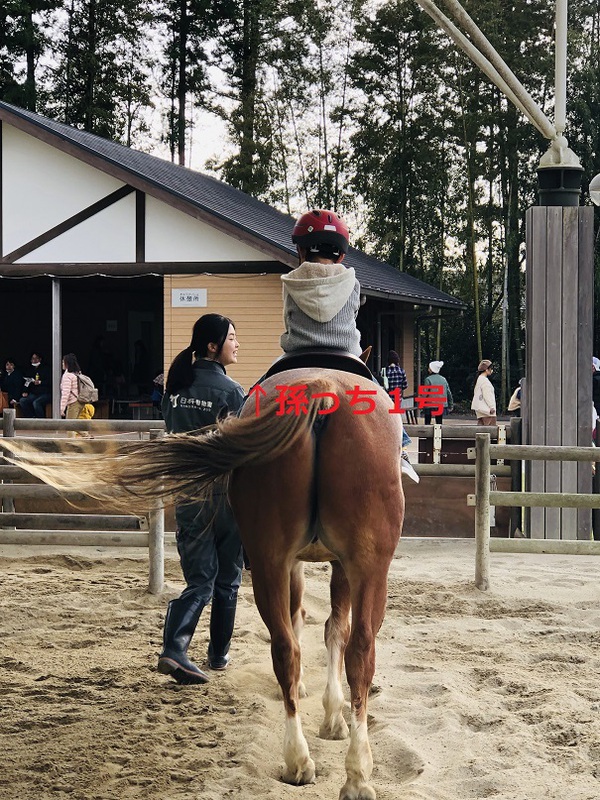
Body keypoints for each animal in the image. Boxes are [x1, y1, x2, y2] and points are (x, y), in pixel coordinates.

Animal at [2, 370, 404, 800]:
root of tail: (321, 389)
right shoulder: (333, 564)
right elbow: (331, 629)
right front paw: (332, 717)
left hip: (278, 561)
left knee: (290, 648)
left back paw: (301, 758)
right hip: (355, 566)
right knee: (354, 651)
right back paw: (351, 772)